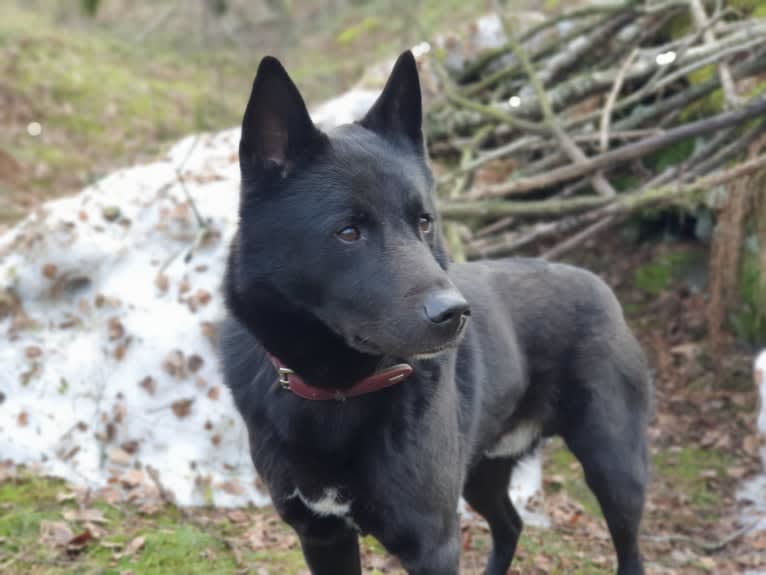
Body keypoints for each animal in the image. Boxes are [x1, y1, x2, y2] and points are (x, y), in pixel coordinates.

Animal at [224, 50, 656, 575]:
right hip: (482, 473)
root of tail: (596, 282)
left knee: (629, 549)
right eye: (348, 232)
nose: (456, 313)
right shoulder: (322, 537)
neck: (339, 390)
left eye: (424, 221)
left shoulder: (432, 544)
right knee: (511, 523)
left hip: (614, 468)